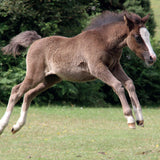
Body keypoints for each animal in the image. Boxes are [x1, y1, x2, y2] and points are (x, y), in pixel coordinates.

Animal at [0, 11, 156, 134]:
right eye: (137, 37)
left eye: (147, 35)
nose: (152, 58)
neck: (105, 41)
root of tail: (35, 42)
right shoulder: (97, 68)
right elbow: (118, 85)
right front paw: (130, 119)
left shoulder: (114, 67)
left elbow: (129, 83)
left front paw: (140, 118)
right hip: (34, 76)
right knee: (16, 91)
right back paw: (3, 126)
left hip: (50, 79)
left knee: (28, 95)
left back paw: (17, 126)